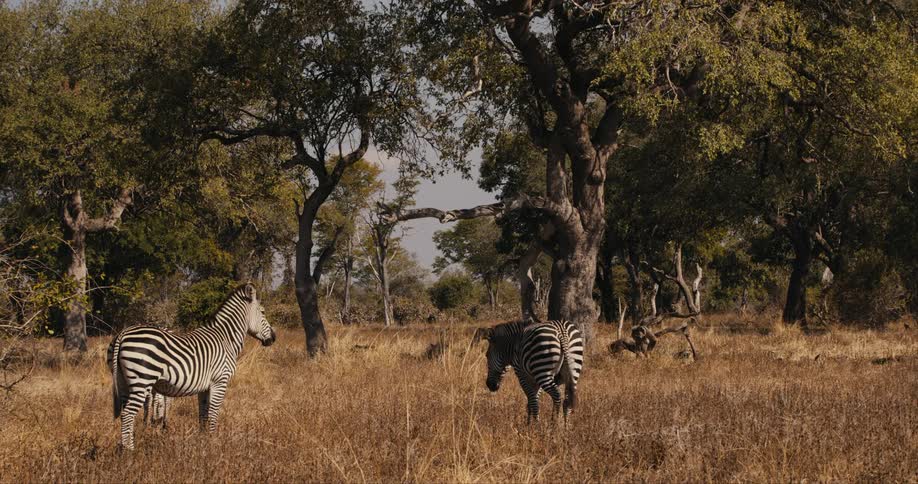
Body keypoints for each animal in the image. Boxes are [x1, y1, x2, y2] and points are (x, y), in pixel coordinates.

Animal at [109, 283, 276, 450]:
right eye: (263, 312)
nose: (274, 338)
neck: (225, 339)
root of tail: (123, 333)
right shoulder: (220, 381)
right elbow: (213, 414)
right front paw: (213, 443)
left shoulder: (205, 387)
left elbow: (203, 414)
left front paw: (203, 442)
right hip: (142, 380)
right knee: (128, 414)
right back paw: (130, 451)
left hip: (123, 382)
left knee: (124, 413)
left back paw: (124, 448)